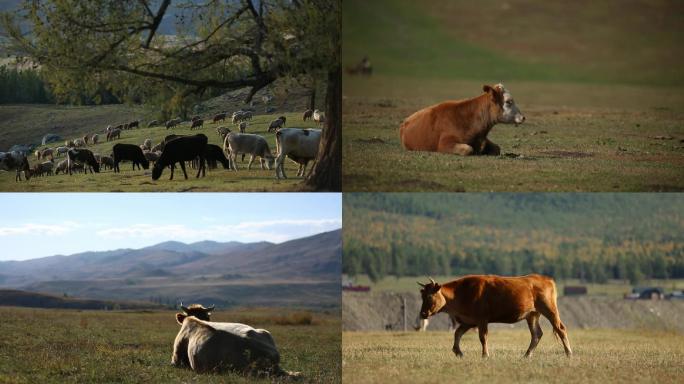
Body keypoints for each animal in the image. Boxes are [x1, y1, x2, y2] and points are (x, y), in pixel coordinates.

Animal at [398, 84, 528, 156]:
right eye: (508, 102)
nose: (523, 117)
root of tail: (405, 122)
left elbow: (497, 148)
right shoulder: (444, 143)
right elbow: (468, 149)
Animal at [416, 274, 572, 358]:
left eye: (430, 296)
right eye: (422, 296)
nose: (422, 313)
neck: (461, 293)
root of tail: (546, 279)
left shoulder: (482, 319)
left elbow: (483, 337)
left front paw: (485, 355)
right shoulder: (468, 321)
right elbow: (457, 334)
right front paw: (458, 352)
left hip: (550, 310)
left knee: (561, 329)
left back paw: (569, 353)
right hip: (532, 315)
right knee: (536, 334)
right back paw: (526, 355)